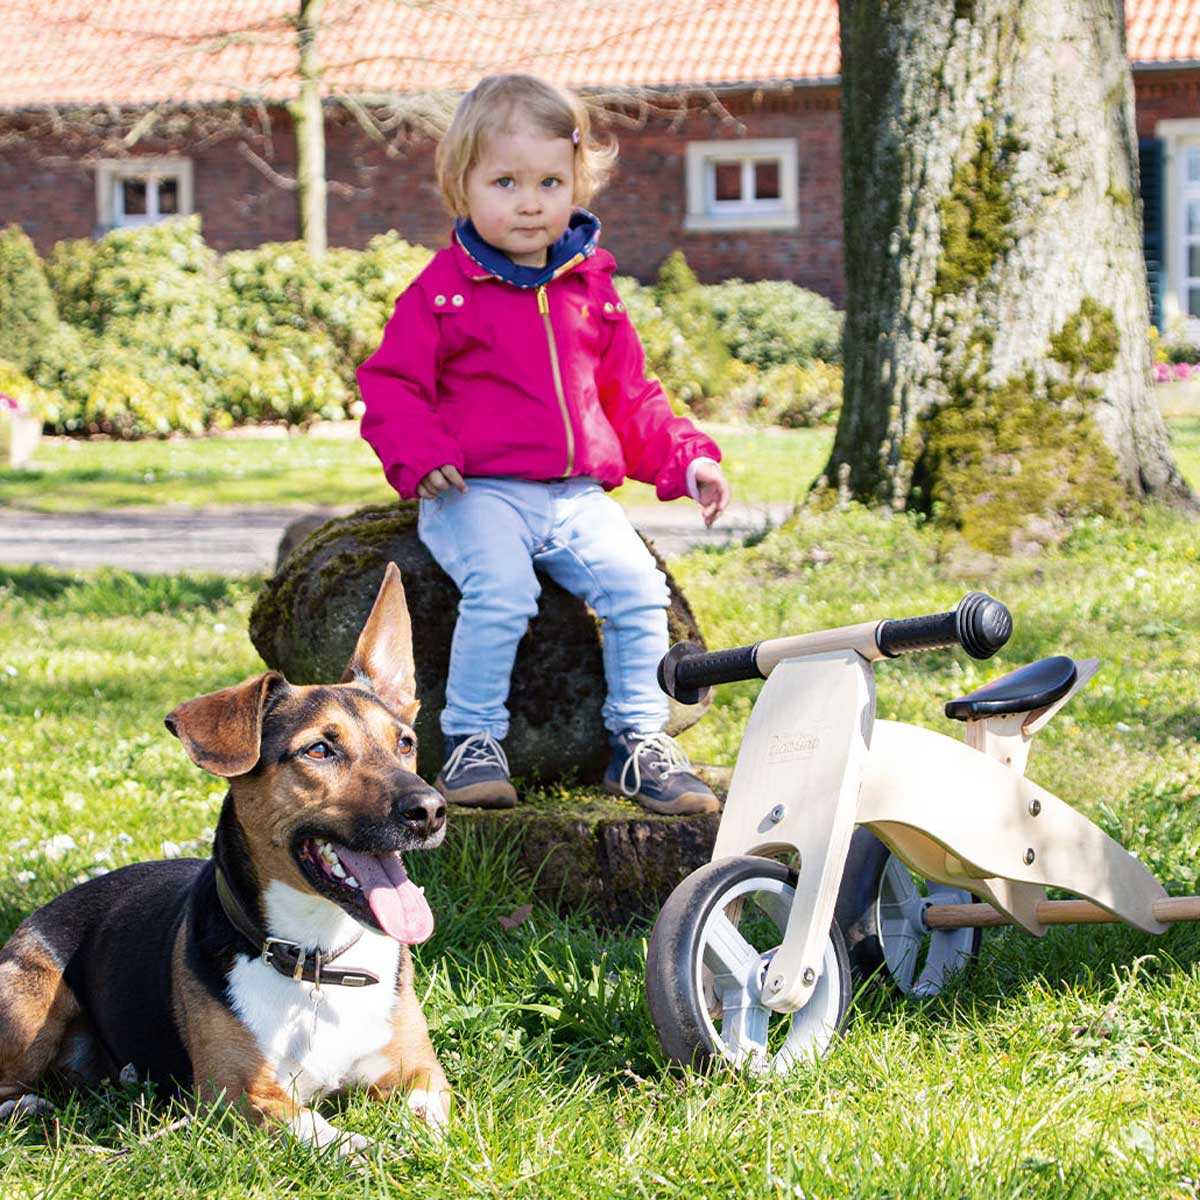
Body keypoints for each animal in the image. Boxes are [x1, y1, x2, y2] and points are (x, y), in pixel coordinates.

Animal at [0, 566, 451, 1156]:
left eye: (406, 743)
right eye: (319, 750)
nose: (430, 810)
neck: (317, 962)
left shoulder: (420, 1071)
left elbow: (432, 1116)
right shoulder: (241, 1096)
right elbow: (334, 1136)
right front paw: (376, 1152)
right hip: (28, 1003)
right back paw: (28, 1104)